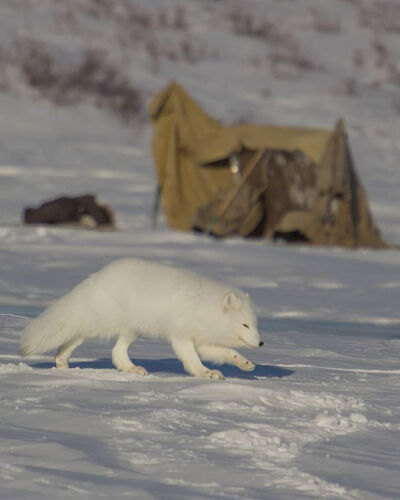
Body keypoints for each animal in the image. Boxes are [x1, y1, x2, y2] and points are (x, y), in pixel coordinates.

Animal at [20, 258, 262, 378]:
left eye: (255, 324)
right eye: (244, 324)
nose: (261, 343)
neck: (204, 307)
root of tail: (99, 277)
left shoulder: (202, 340)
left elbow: (226, 353)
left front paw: (246, 364)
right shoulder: (181, 336)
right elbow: (192, 359)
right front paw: (205, 373)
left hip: (130, 329)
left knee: (116, 352)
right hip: (102, 322)